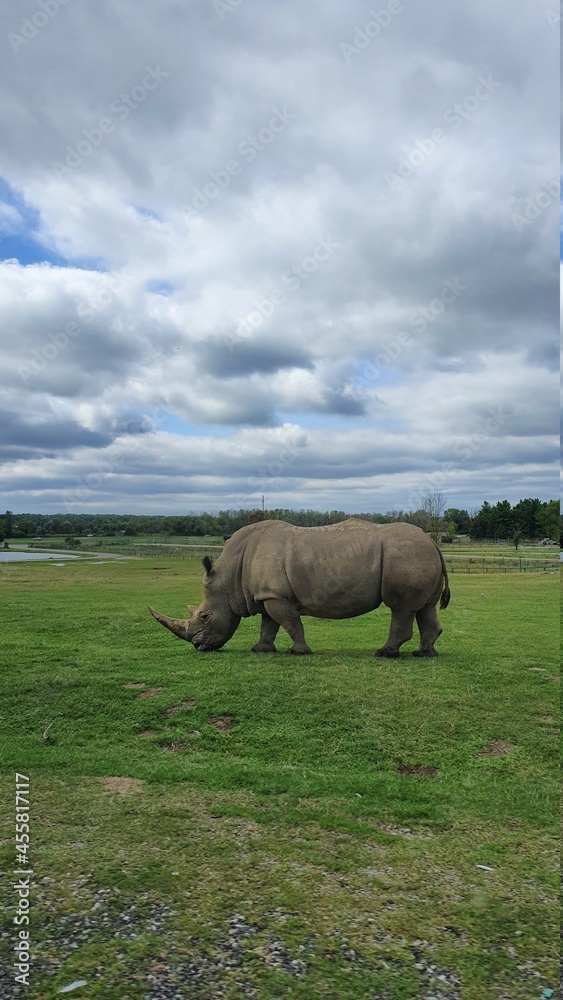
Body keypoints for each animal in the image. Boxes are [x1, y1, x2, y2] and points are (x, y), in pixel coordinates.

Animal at [148, 518, 450, 657]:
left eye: (204, 616)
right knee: (425, 609)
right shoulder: (266, 595)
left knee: (401, 608)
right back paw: (424, 655)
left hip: (407, 556)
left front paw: (299, 652)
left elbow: (291, 624)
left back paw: (384, 654)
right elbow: (268, 625)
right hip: (420, 555)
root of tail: (433, 542)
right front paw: (260, 650)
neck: (229, 576)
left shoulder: (277, 597)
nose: (198, 647)